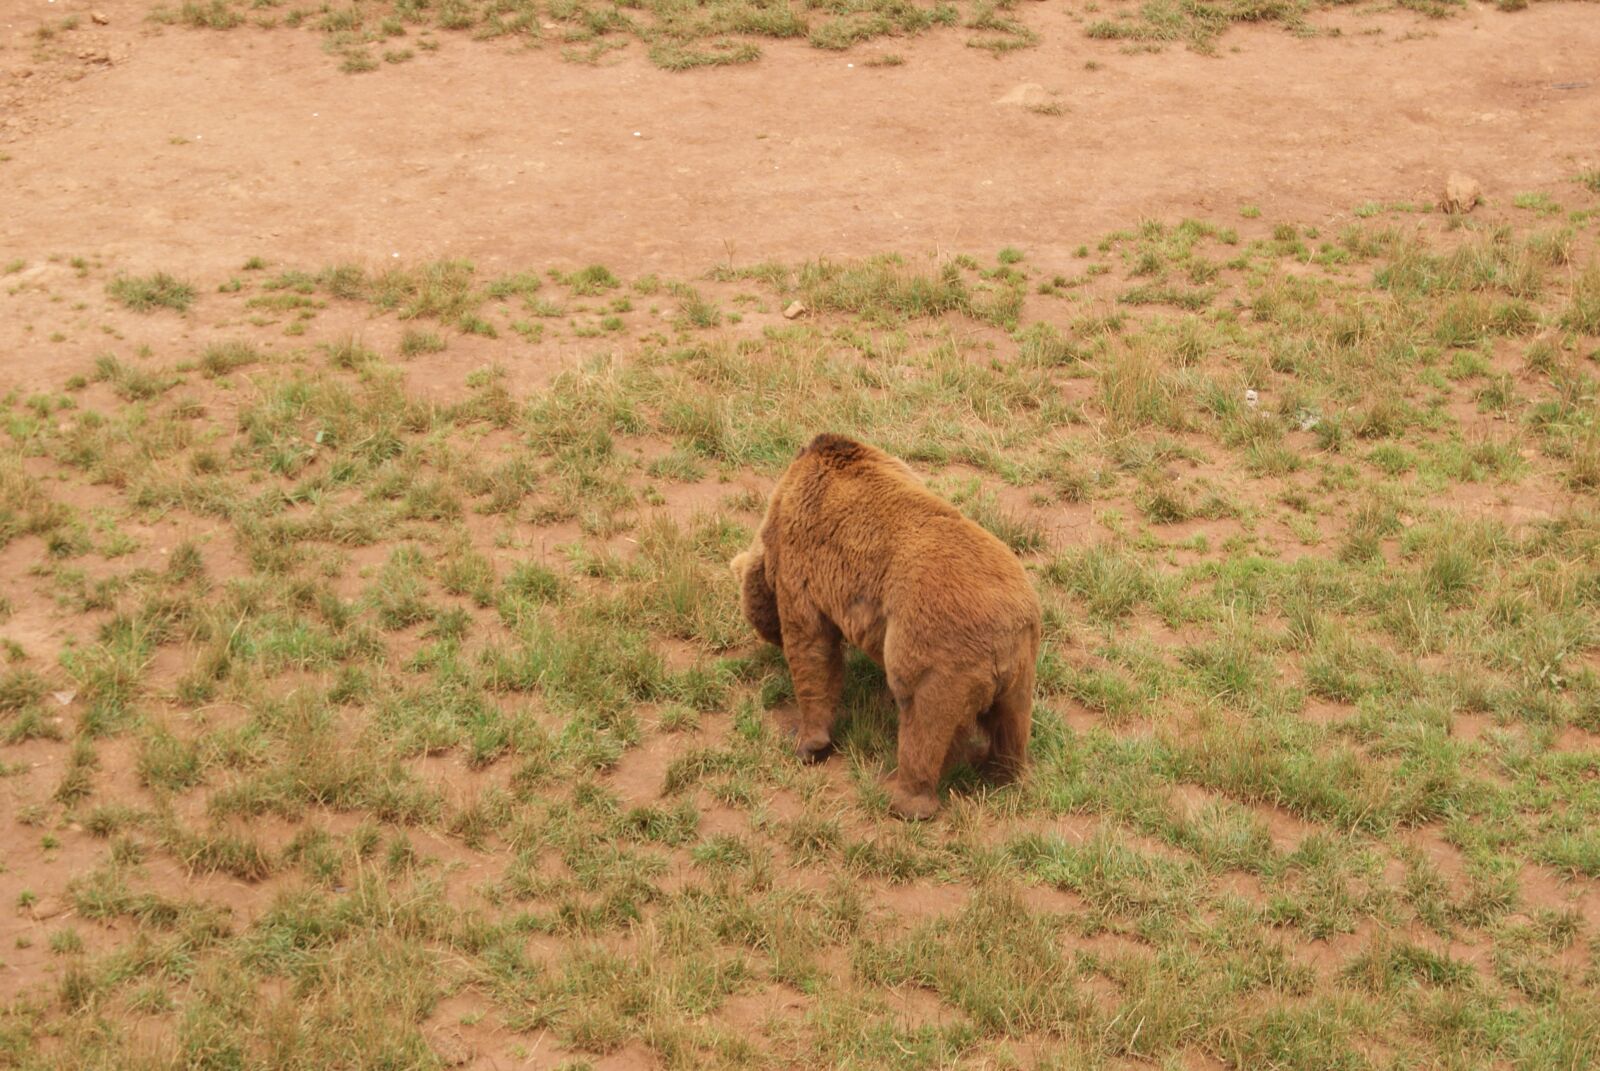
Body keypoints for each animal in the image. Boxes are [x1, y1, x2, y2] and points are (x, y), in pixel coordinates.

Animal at [732, 435, 1043, 819]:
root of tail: (1004, 640)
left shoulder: (801, 564)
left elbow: (811, 652)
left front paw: (806, 742)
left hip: (936, 649)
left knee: (922, 720)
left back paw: (903, 797)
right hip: (1023, 660)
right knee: (1013, 721)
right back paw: (1001, 771)